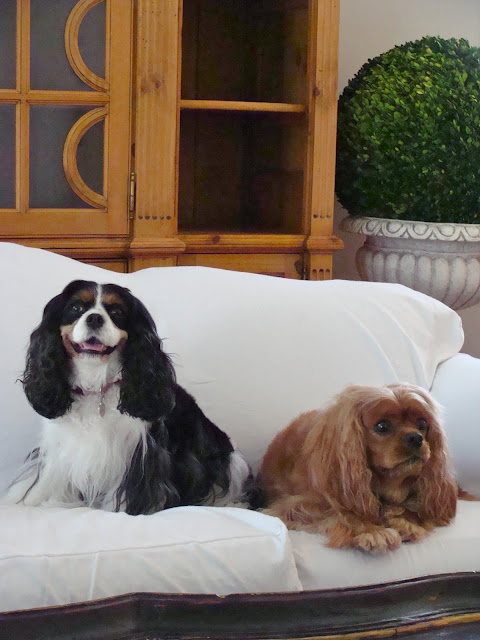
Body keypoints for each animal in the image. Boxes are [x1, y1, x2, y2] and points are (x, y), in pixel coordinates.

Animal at [8, 280, 250, 514]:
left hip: (232, 463)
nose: (95, 318)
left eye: (116, 311)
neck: (97, 386)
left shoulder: (138, 450)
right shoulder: (61, 445)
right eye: (75, 308)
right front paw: (31, 500)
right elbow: (49, 477)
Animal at [259, 383, 459, 552]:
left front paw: (404, 523)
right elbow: (342, 514)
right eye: (382, 426)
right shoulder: (294, 505)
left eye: (422, 424)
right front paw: (372, 531)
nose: (416, 438)